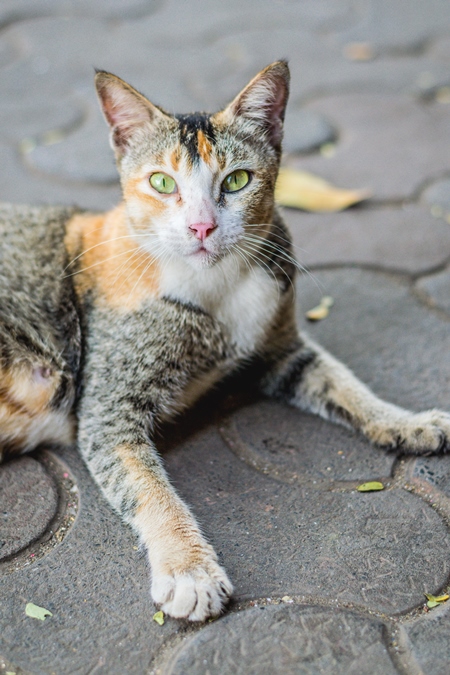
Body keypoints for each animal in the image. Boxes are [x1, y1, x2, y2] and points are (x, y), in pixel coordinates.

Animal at [0, 63, 450, 624]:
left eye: (236, 180)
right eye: (162, 182)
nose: (202, 226)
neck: (216, 286)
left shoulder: (280, 352)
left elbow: (345, 384)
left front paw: (408, 422)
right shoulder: (108, 407)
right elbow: (148, 489)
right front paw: (189, 570)